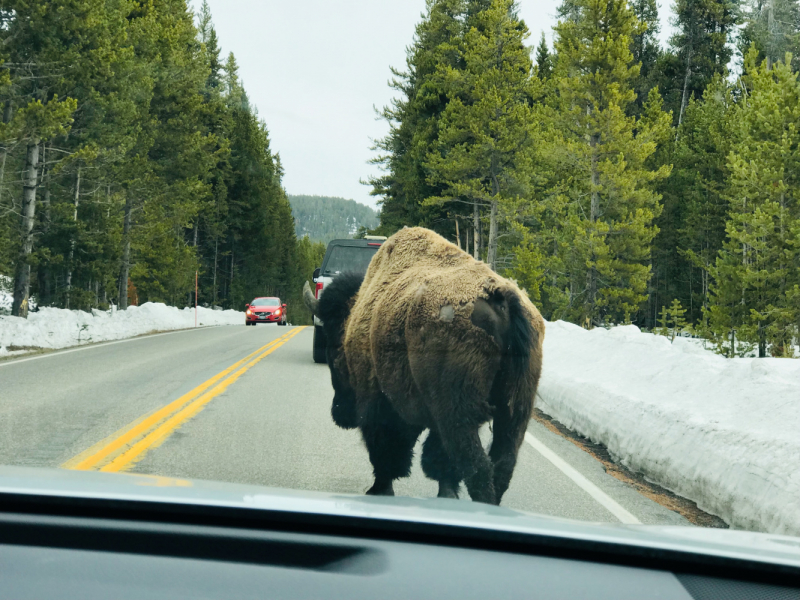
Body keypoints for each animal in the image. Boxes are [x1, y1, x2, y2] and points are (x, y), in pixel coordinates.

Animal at [304, 227, 544, 504]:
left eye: (333, 345)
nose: (339, 413)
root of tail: (503, 301)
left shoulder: (380, 403)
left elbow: (386, 450)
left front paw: (380, 489)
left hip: (458, 411)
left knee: (477, 466)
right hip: (515, 410)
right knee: (502, 463)